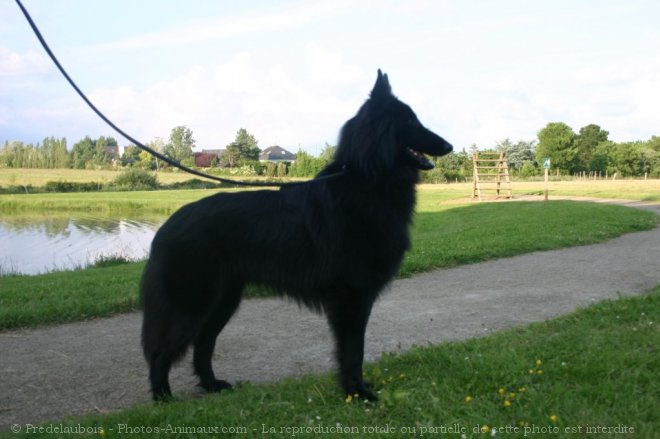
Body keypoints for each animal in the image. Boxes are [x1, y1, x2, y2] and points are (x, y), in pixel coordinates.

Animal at [142, 69, 454, 402]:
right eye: (410, 121)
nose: (449, 146)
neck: (366, 179)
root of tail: (167, 225)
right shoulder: (352, 294)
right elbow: (353, 350)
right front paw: (356, 393)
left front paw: (354, 390)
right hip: (192, 303)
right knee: (161, 350)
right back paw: (163, 398)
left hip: (224, 301)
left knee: (202, 344)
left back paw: (212, 385)